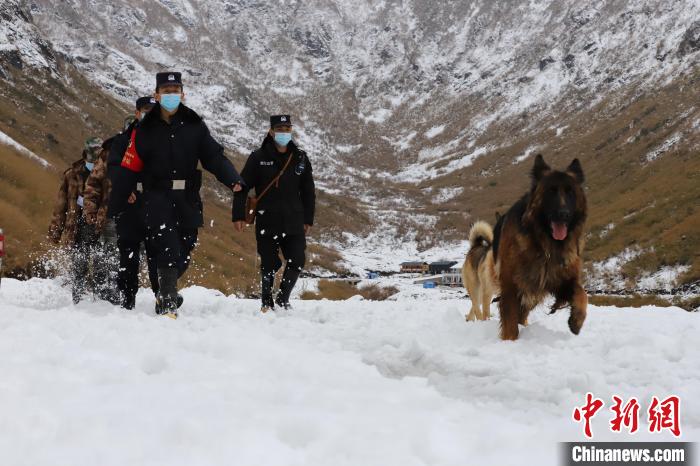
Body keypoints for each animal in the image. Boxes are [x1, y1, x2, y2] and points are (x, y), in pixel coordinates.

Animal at [464, 155, 592, 340]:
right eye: (551, 191)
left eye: (570, 192)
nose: (564, 214)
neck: (543, 243)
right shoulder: (511, 284)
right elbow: (509, 321)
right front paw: (510, 341)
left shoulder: (560, 280)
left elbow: (582, 294)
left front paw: (576, 320)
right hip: (481, 289)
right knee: (479, 307)